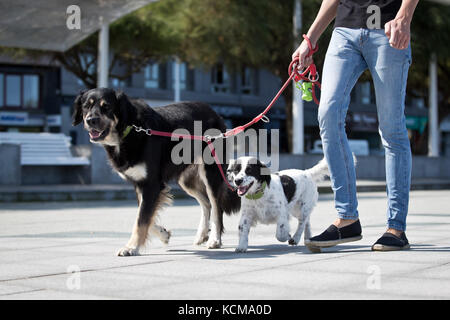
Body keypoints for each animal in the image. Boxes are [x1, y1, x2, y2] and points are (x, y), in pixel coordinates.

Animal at [73, 87, 243, 255]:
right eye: (86, 106)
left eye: (106, 106)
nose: (90, 120)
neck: (129, 129)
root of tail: (214, 112)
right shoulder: (140, 183)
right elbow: (145, 215)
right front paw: (163, 234)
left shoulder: (152, 184)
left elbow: (141, 219)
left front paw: (131, 247)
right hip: (186, 181)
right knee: (206, 203)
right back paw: (202, 234)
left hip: (211, 172)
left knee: (216, 207)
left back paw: (215, 239)